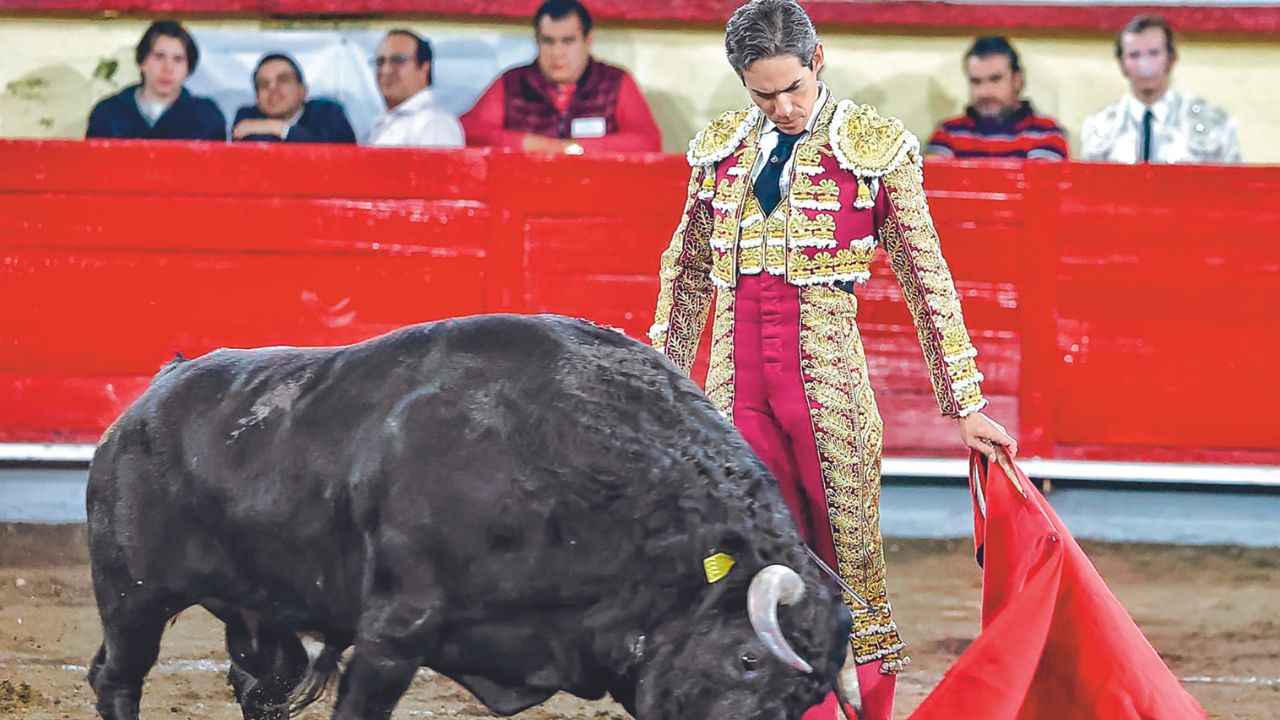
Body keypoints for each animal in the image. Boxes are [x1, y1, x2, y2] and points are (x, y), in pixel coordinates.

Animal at [87, 313, 849, 717]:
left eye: (806, 697)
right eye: (748, 657)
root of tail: (155, 393)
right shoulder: (395, 631)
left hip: (257, 608)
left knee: (261, 681)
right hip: (133, 594)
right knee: (118, 675)